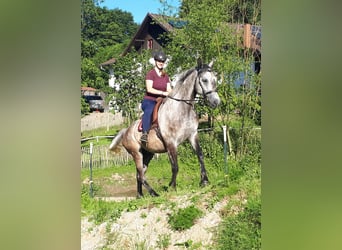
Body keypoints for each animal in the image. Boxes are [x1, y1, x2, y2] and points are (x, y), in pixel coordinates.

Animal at [109, 60, 222, 197]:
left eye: (215, 79)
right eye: (204, 80)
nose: (216, 102)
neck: (181, 110)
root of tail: (126, 131)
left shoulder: (193, 135)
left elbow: (200, 155)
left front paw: (204, 181)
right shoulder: (170, 143)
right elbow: (175, 166)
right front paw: (172, 186)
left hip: (148, 154)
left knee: (139, 174)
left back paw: (141, 195)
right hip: (136, 154)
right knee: (141, 175)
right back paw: (154, 193)